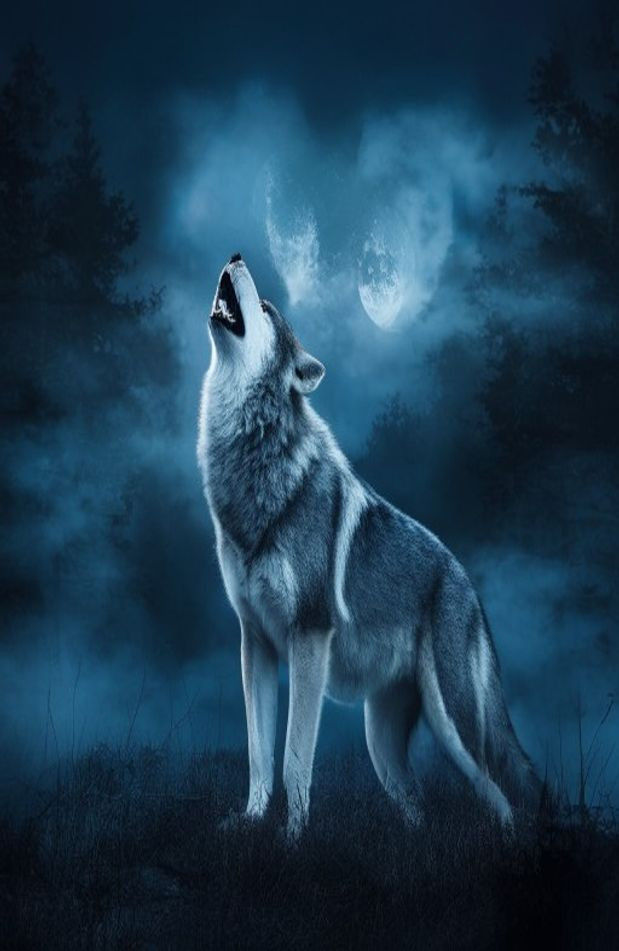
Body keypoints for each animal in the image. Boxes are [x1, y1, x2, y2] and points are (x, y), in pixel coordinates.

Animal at [197, 253, 539, 840]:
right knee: (418, 806)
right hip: (381, 745)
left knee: (501, 797)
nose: (237, 255)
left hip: (454, 730)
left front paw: (291, 841)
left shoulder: (309, 637)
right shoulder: (255, 644)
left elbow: (294, 760)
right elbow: (259, 756)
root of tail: (467, 585)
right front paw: (250, 822)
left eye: (265, 307)